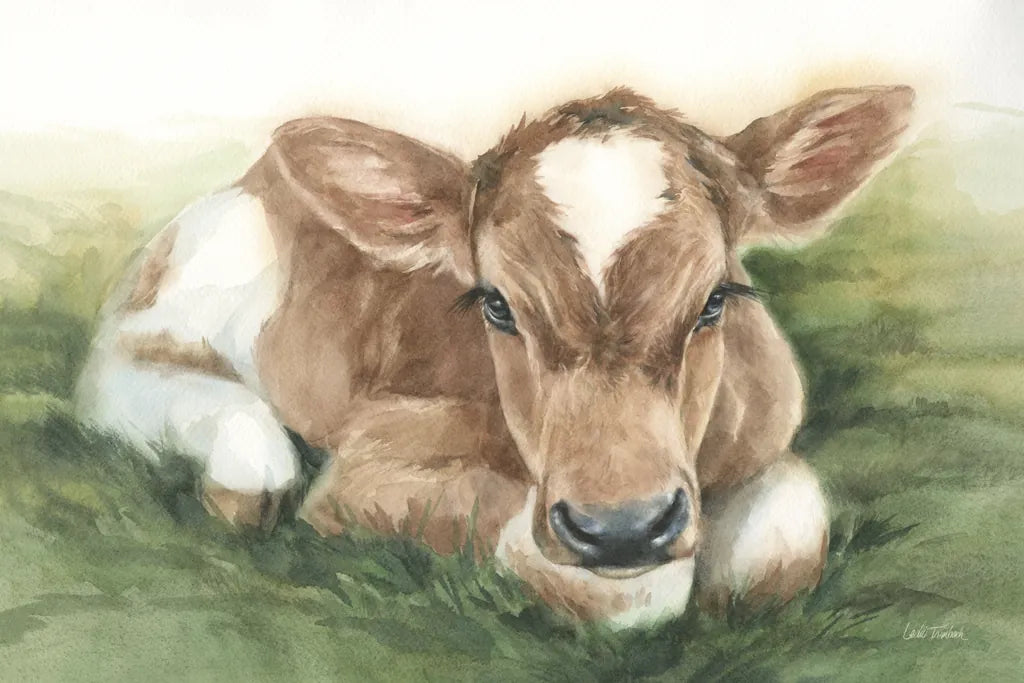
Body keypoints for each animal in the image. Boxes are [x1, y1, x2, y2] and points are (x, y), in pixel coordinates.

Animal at [75, 85, 914, 627]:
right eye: (496, 304)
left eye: (716, 298)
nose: (622, 528)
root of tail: (258, 179)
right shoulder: (371, 466)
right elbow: (618, 594)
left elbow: (787, 539)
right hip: (158, 318)